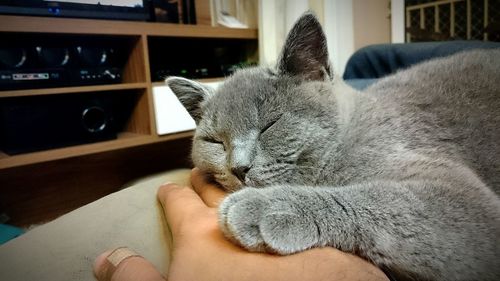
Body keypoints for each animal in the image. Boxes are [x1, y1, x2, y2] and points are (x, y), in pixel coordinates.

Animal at [167, 12, 500, 280]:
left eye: (270, 125)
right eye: (214, 141)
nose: (238, 167)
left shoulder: (462, 196)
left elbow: (380, 198)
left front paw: (270, 207)